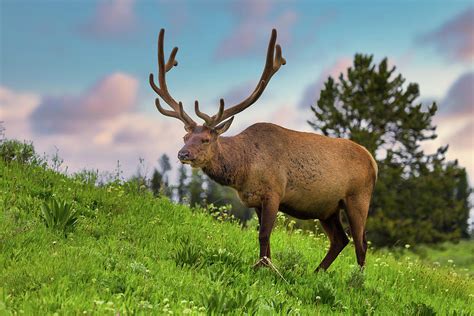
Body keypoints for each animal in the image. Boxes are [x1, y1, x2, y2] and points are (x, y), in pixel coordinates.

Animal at [149, 29, 378, 270]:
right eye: (185, 137)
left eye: (205, 139)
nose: (182, 154)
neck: (244, 169)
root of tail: (373, 161)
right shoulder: (257, 202)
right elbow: (264, 239)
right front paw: (266, 266)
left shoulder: (274, 193)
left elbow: (264, 235)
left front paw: (261, 267)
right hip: (328, 208)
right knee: (340, 239)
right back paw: (318, 272)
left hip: (358, 198)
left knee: (361, 243)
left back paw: (357, 278)